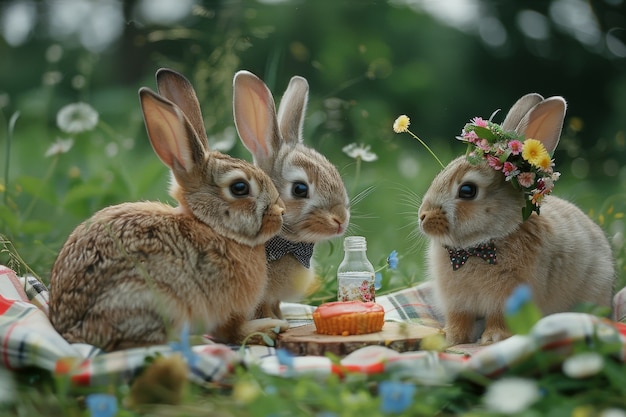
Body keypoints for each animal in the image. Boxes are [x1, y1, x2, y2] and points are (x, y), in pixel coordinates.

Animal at [47, 69, 286, 352]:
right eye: (239, 188)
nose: (280, 213)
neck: (212, 227)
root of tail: (70, 330)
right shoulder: (227, 310)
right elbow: (233, 331)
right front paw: (267, 328)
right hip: (153, 298)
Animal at [416, 93, 612, 344]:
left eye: (468, 191)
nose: (423, 216)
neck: (477, 247)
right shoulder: (458, 303)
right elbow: (459, 320)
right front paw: (451, 338)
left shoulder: (508, 299)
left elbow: (500, 320)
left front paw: (492, 339)